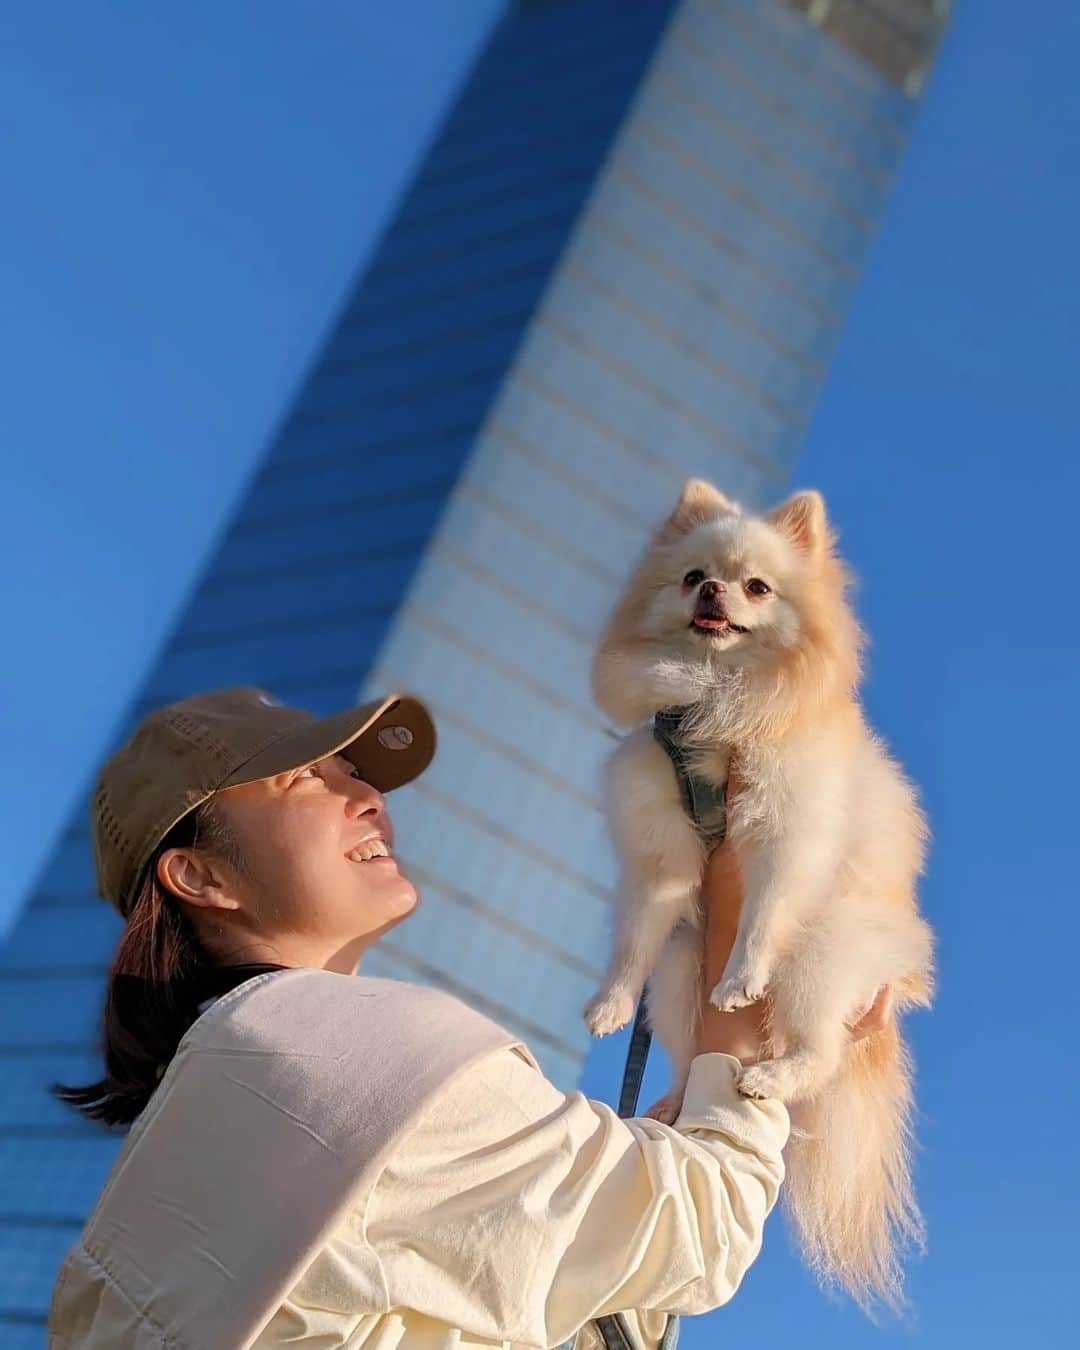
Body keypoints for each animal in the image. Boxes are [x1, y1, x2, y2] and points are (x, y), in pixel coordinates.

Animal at [583, 480, 934, 1312]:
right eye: (691, 577)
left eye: (757, 588)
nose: (712, 592)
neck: (715, 700)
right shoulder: (661, 852)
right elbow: (634, 935)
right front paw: (609, 1002)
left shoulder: (786, 834)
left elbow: (768, 910)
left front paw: (742, 976)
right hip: (682, 971)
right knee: (687, 1053)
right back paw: (676, 1100)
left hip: (822, 959)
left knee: (822, 1052)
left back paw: (772, 1073)